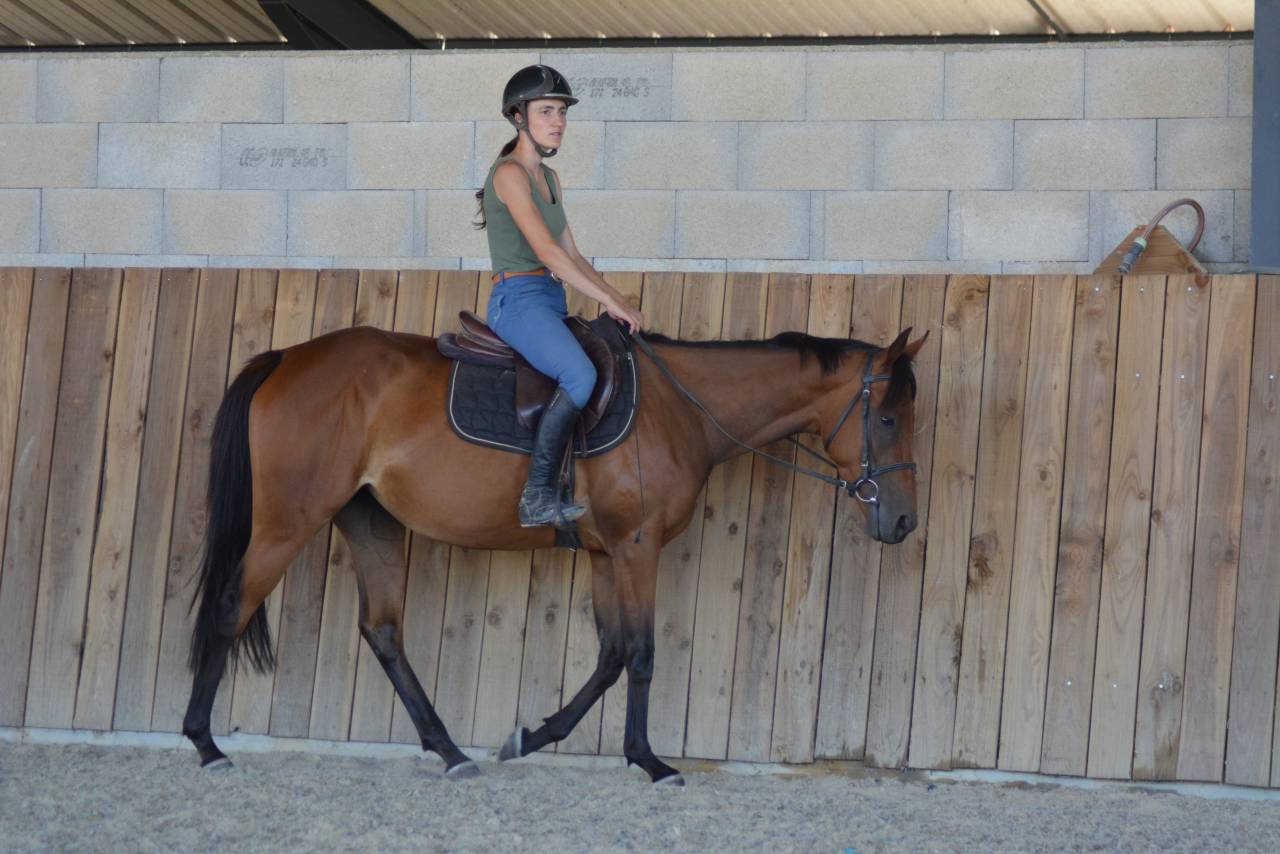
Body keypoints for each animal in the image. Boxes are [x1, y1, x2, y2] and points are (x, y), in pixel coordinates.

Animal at [182, 319, 928, 784]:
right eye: (888, 417)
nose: (902, 521)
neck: (679, 407)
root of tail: (287, 357)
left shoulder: (605, 553)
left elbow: (610, 655)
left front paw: (530, 739)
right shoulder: (637, 547)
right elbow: (641, 654)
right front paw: (650, 762)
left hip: (370, 522)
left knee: (383, 632)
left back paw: (451, 752)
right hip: (289, 520)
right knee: (229, 606)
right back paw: (205, 744)